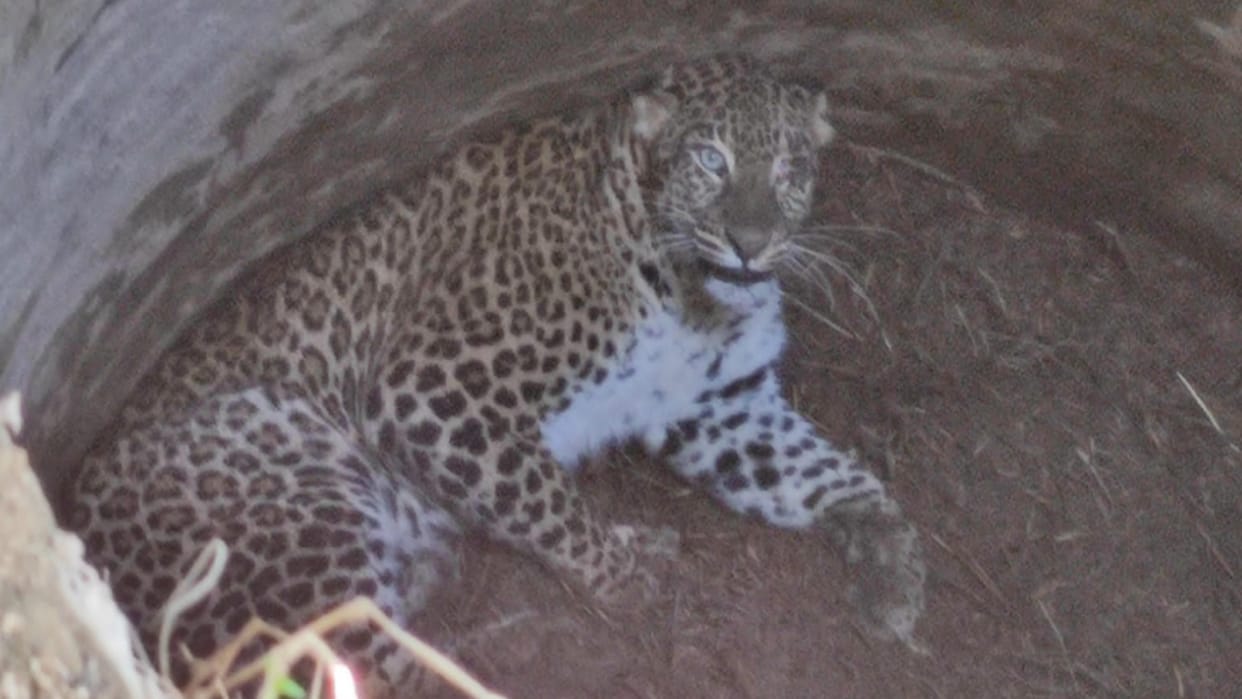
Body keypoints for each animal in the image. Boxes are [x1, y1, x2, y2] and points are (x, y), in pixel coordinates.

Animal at [67, 54, 926, 696]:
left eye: (789, 167)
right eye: (710, 160)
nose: (751, 242)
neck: (690, 293)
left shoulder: (719, 405)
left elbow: (824, 473)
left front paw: (894, 565)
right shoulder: (431, 386)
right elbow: (541, 494)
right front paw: (624, 573)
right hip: (290, 478)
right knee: (364, 668)